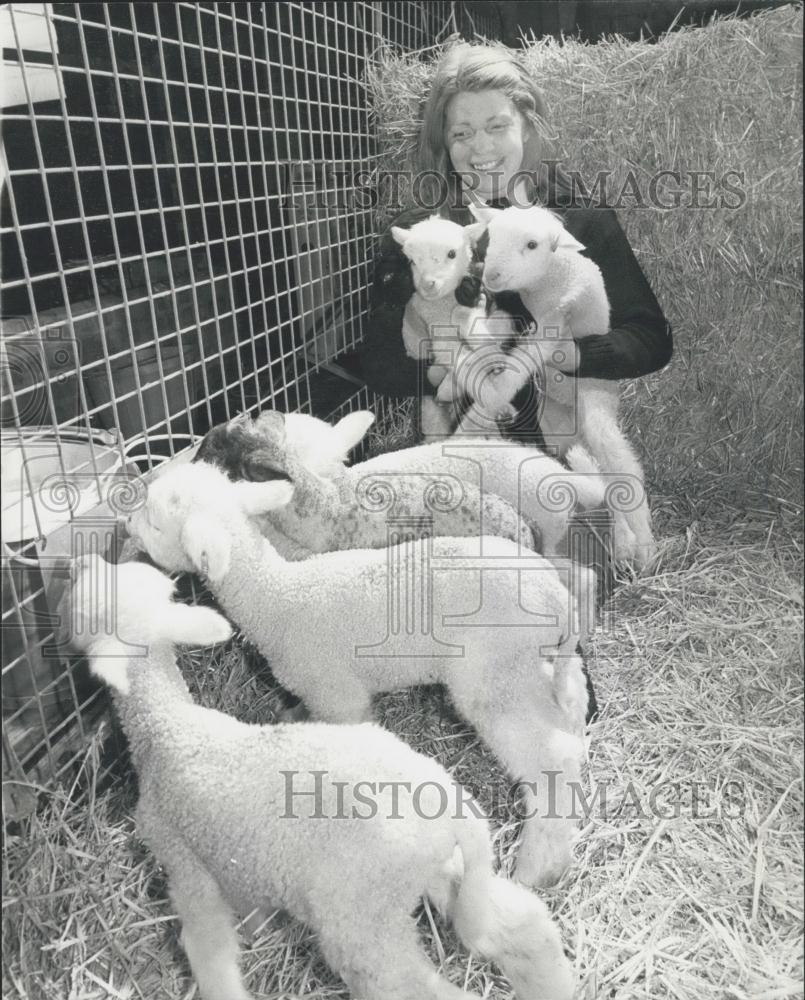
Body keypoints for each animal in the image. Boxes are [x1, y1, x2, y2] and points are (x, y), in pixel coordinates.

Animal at [127, 462, 592, 892]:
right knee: (571, 711)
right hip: (530, 665)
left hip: (494, 675)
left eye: (156, 521)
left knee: (552, 758)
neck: (276, 596)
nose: (127, 522)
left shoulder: (338, 695)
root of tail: (556, 595)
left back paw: (536, 866)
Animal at [468, 203, 656, 572]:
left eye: (532, 245)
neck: (544, 283)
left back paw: (642, 546)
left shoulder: (553, 327)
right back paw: (623, 542)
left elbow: (516, 369)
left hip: (595, 402)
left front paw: (488, 400)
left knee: (621, 469)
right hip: (557, 428)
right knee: (601, 475)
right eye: (490, 237)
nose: (491, 275)